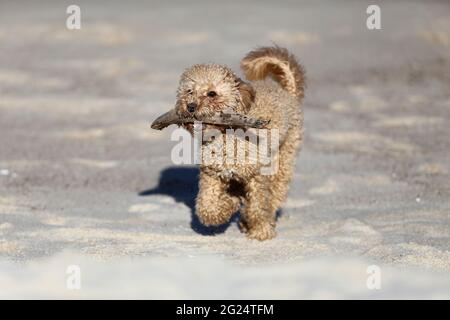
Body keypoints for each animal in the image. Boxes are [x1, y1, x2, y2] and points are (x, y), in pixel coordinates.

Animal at [174, 45, 304, 240]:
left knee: (275, 194)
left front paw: (260, 231)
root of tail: (288, 91)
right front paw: (226, 207)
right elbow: (207, 206)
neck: (225, 138)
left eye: (211, 93)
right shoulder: (211, 173)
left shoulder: (257, 175)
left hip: (284, 158)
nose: (190, 106)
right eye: (189, 91)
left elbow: (258, 206)